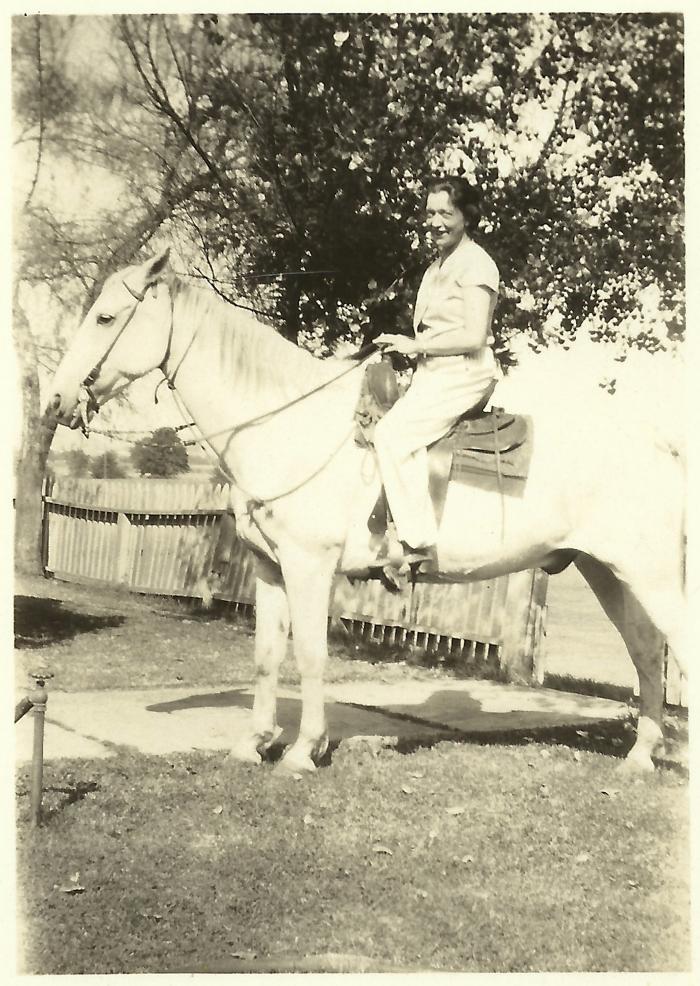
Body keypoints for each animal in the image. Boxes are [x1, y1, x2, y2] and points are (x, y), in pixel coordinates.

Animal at [49, 246, 688, 768]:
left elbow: (310, 655)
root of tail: (662, 445)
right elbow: (266, 657)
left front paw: (304, 751)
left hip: (649, 574)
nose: (56, 399)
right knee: (645, 650)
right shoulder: (270, 568)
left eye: (105, 317)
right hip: (607, 572)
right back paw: (640, 758)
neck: (286, 422)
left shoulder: (309, 566)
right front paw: (253, 744)